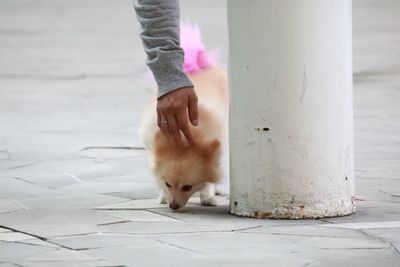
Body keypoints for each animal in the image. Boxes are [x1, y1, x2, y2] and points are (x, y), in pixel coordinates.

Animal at [141, 23, 228, 211]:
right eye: (168, 184)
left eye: (187, 187)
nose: (173, 206)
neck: (184, 136)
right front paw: (163, 195)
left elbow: (210, 175)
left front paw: (207, 195)